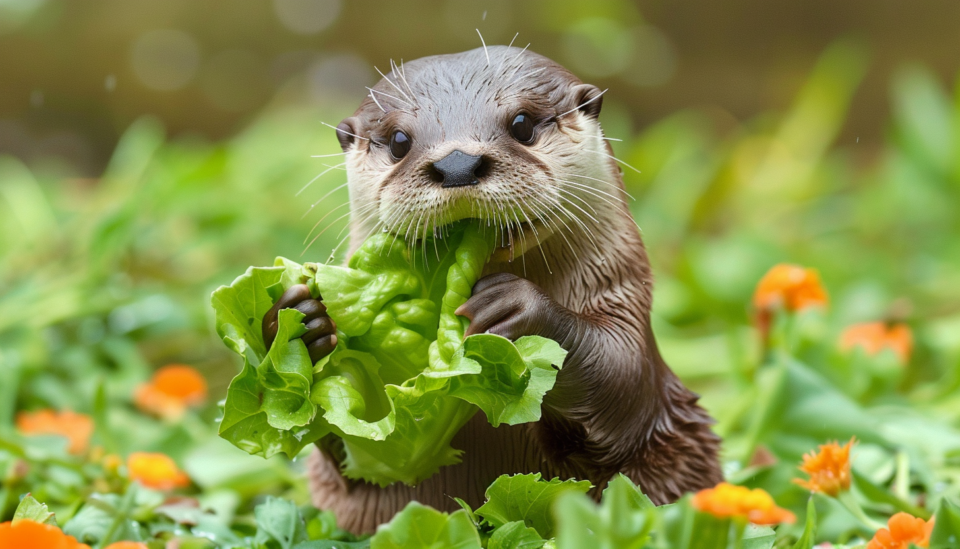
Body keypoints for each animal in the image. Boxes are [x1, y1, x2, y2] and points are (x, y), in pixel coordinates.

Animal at [262, 45, 720, 532]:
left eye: (521, 124)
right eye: (399, 141)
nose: (457, 164)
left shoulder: (623, 301)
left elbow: (621, 379)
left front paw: (515, 307)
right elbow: (341, 453)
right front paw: (300, 321)